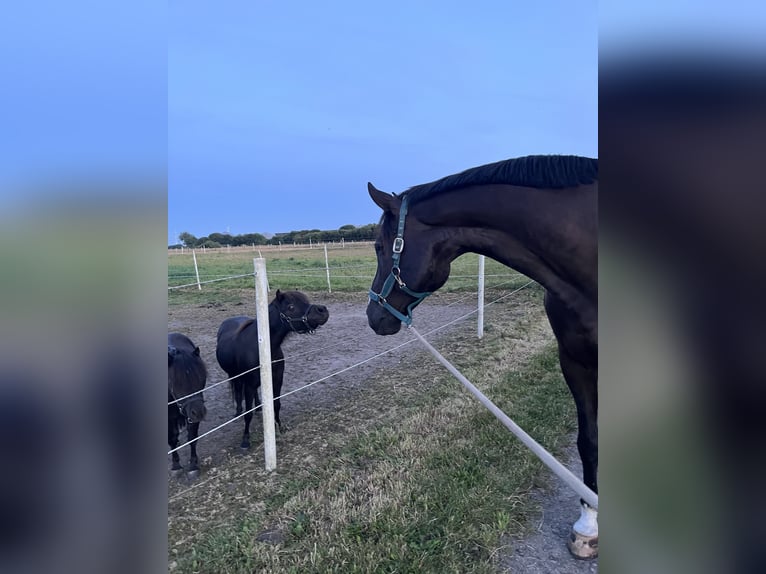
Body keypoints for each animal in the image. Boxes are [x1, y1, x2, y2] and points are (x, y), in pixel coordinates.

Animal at [168, 332, 208, 477]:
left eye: (202, 378)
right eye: (176, 383)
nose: (199, 412)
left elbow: (192, 437)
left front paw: (193, 465)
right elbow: (171, 438)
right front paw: (175, 466)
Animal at [216, 289, 330, 449]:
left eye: (306, 300)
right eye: (291, 307)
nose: (322, 310)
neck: (262, 349)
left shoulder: (276, 380)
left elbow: (276, 404)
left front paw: (279, 427)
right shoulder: (249, 384)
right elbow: (248, 414)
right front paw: (245, 440)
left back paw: (258, 407)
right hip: (235, 376)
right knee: (238, 391)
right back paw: (238, 411)